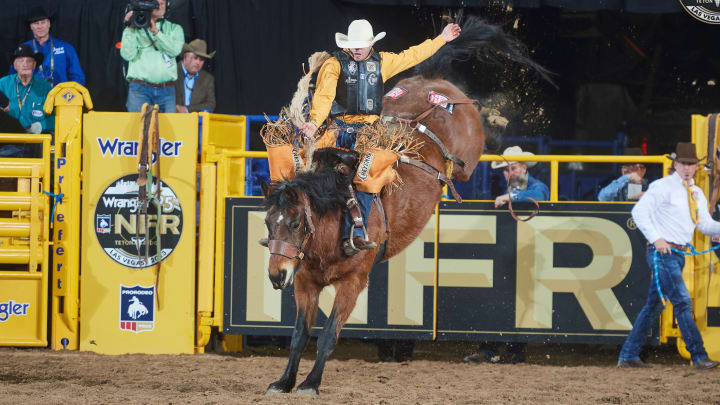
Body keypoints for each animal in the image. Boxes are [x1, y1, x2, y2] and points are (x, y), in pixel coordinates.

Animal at [262, 16, 556, 394]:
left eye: (296, 223)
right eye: (268, 223)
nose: (275, 275)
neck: (335, 219)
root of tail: (432, 79)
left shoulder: (354, 282)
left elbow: (327, 337)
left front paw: (311, 383)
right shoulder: (305, 283)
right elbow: (299, 336)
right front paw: (284, 381)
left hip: (470, 153)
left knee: (474, 149)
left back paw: (497, 123)